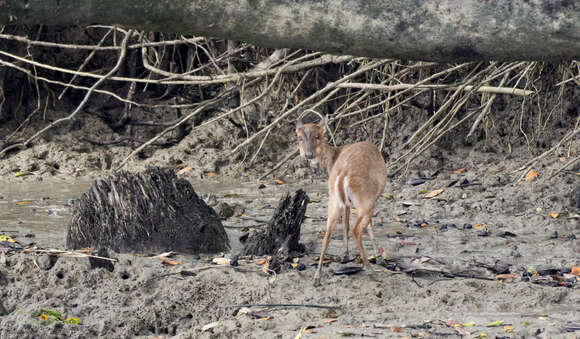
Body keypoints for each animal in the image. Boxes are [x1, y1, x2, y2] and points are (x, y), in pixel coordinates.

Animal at [296, 116, 388, 286]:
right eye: (299, 137)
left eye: (317, 135)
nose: (309, 154)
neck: (332, 161)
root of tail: (343, 174)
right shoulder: (370, 199)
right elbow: (367, 225)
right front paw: (378, 257)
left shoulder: (345, 203)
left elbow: (344, 223)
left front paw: (345, 254)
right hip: (365, 200)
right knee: (356, 230)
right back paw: (370, 270)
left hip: (333, 199)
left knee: (327, 233)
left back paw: (317, 277)